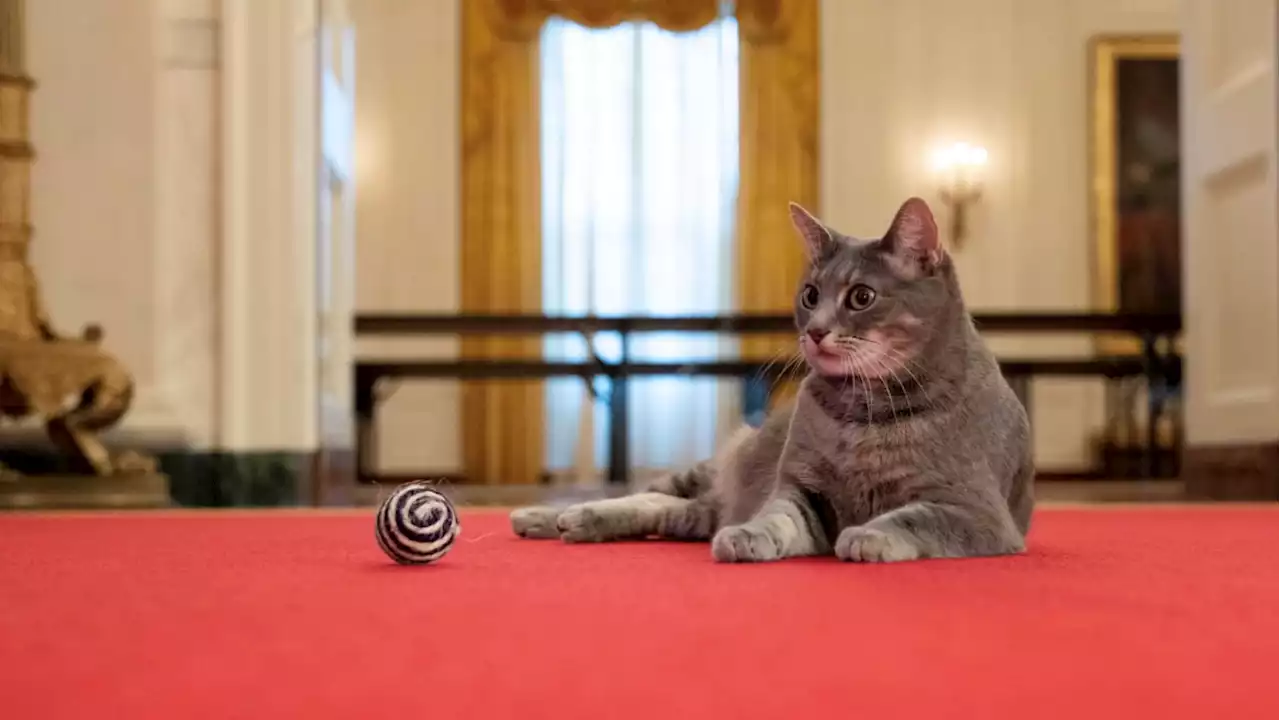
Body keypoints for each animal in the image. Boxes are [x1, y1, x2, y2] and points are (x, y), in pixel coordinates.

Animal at [504, 194, 1034, 561]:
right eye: (810, 294)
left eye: (861, 297)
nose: (815, 331)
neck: (865, 412)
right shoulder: (802, 488)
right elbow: (777, 516)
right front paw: (749, 535)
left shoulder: (974, 509)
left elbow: (913, 519)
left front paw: (869, 535)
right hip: (715, 463)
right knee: (648, 492)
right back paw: (549, 515)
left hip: (700, 505)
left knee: (667, 509)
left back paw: (575, 521)